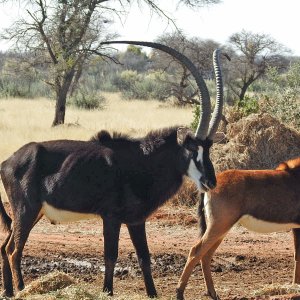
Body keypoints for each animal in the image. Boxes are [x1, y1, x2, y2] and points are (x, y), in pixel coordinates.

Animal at [0, 42, 225, 298]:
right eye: (192, 149)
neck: (143, 161)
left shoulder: (136, 221)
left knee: (6, 246)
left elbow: (144, 258)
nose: (210, 181)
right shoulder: (111, 217)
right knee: (14, 250)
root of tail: (7, 161)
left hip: (33, 212)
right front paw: (107, 291)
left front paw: (152, 293)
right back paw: (22, 289)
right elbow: (110, 256)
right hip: (26, 210)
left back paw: (8, 291)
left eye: (208, 149)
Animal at [177, 158, 300, 298]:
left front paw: (295, 285)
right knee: (196, 251)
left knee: (206, 255)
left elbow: (297, 256)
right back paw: (179, 293)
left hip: (221, 230)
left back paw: (213, 293)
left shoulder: (296, 227)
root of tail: (210, 185)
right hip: (219, 225)